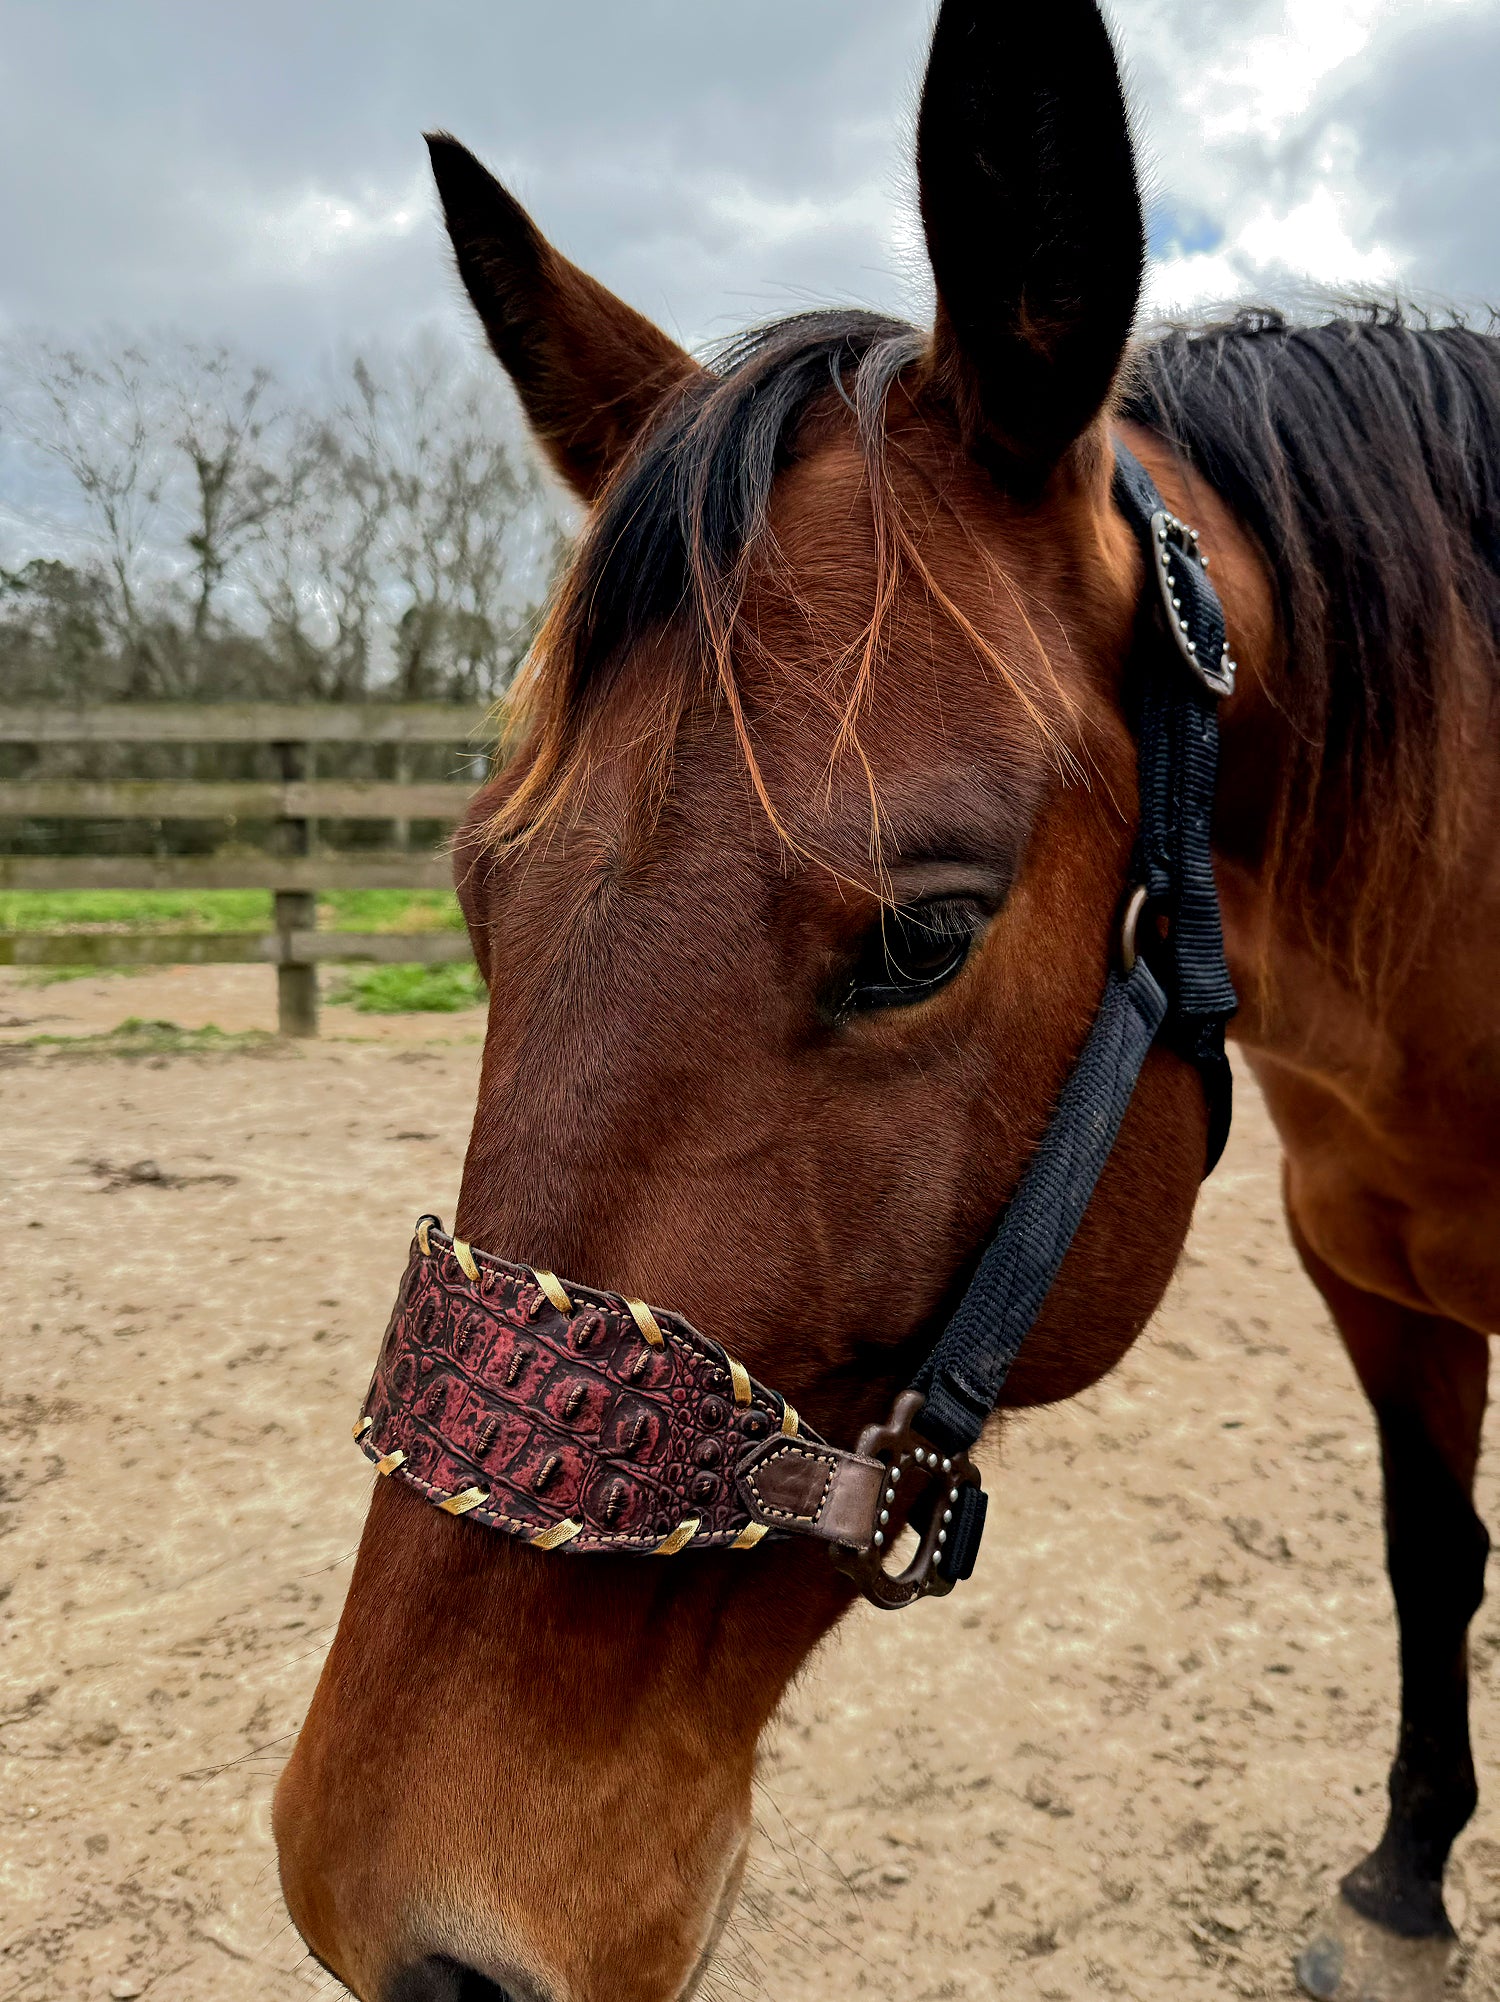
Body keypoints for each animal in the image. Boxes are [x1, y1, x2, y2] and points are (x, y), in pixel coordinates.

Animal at [272, 3, 1497, 2002]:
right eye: (474, 894)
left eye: (925, 935)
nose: (402, 1918)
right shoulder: (1371, 1286)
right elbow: (1432, 1556)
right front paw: (1404, 1879)